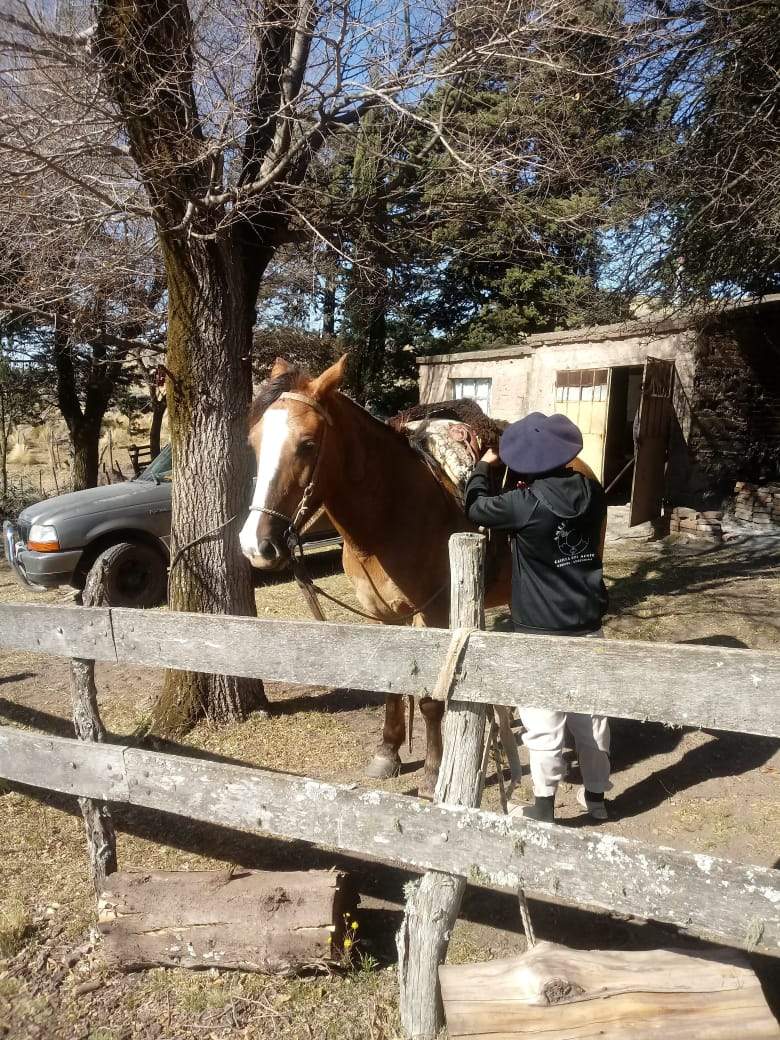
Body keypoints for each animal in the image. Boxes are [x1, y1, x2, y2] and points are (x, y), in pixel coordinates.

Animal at [241, 351, 603, 794]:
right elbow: (390, 686)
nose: (256, 546)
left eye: (308, 444)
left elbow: (430, 700)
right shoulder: (384, 616)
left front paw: (433, 771)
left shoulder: (432, 616)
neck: (390, 514)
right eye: (253, 443)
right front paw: (387, 754)